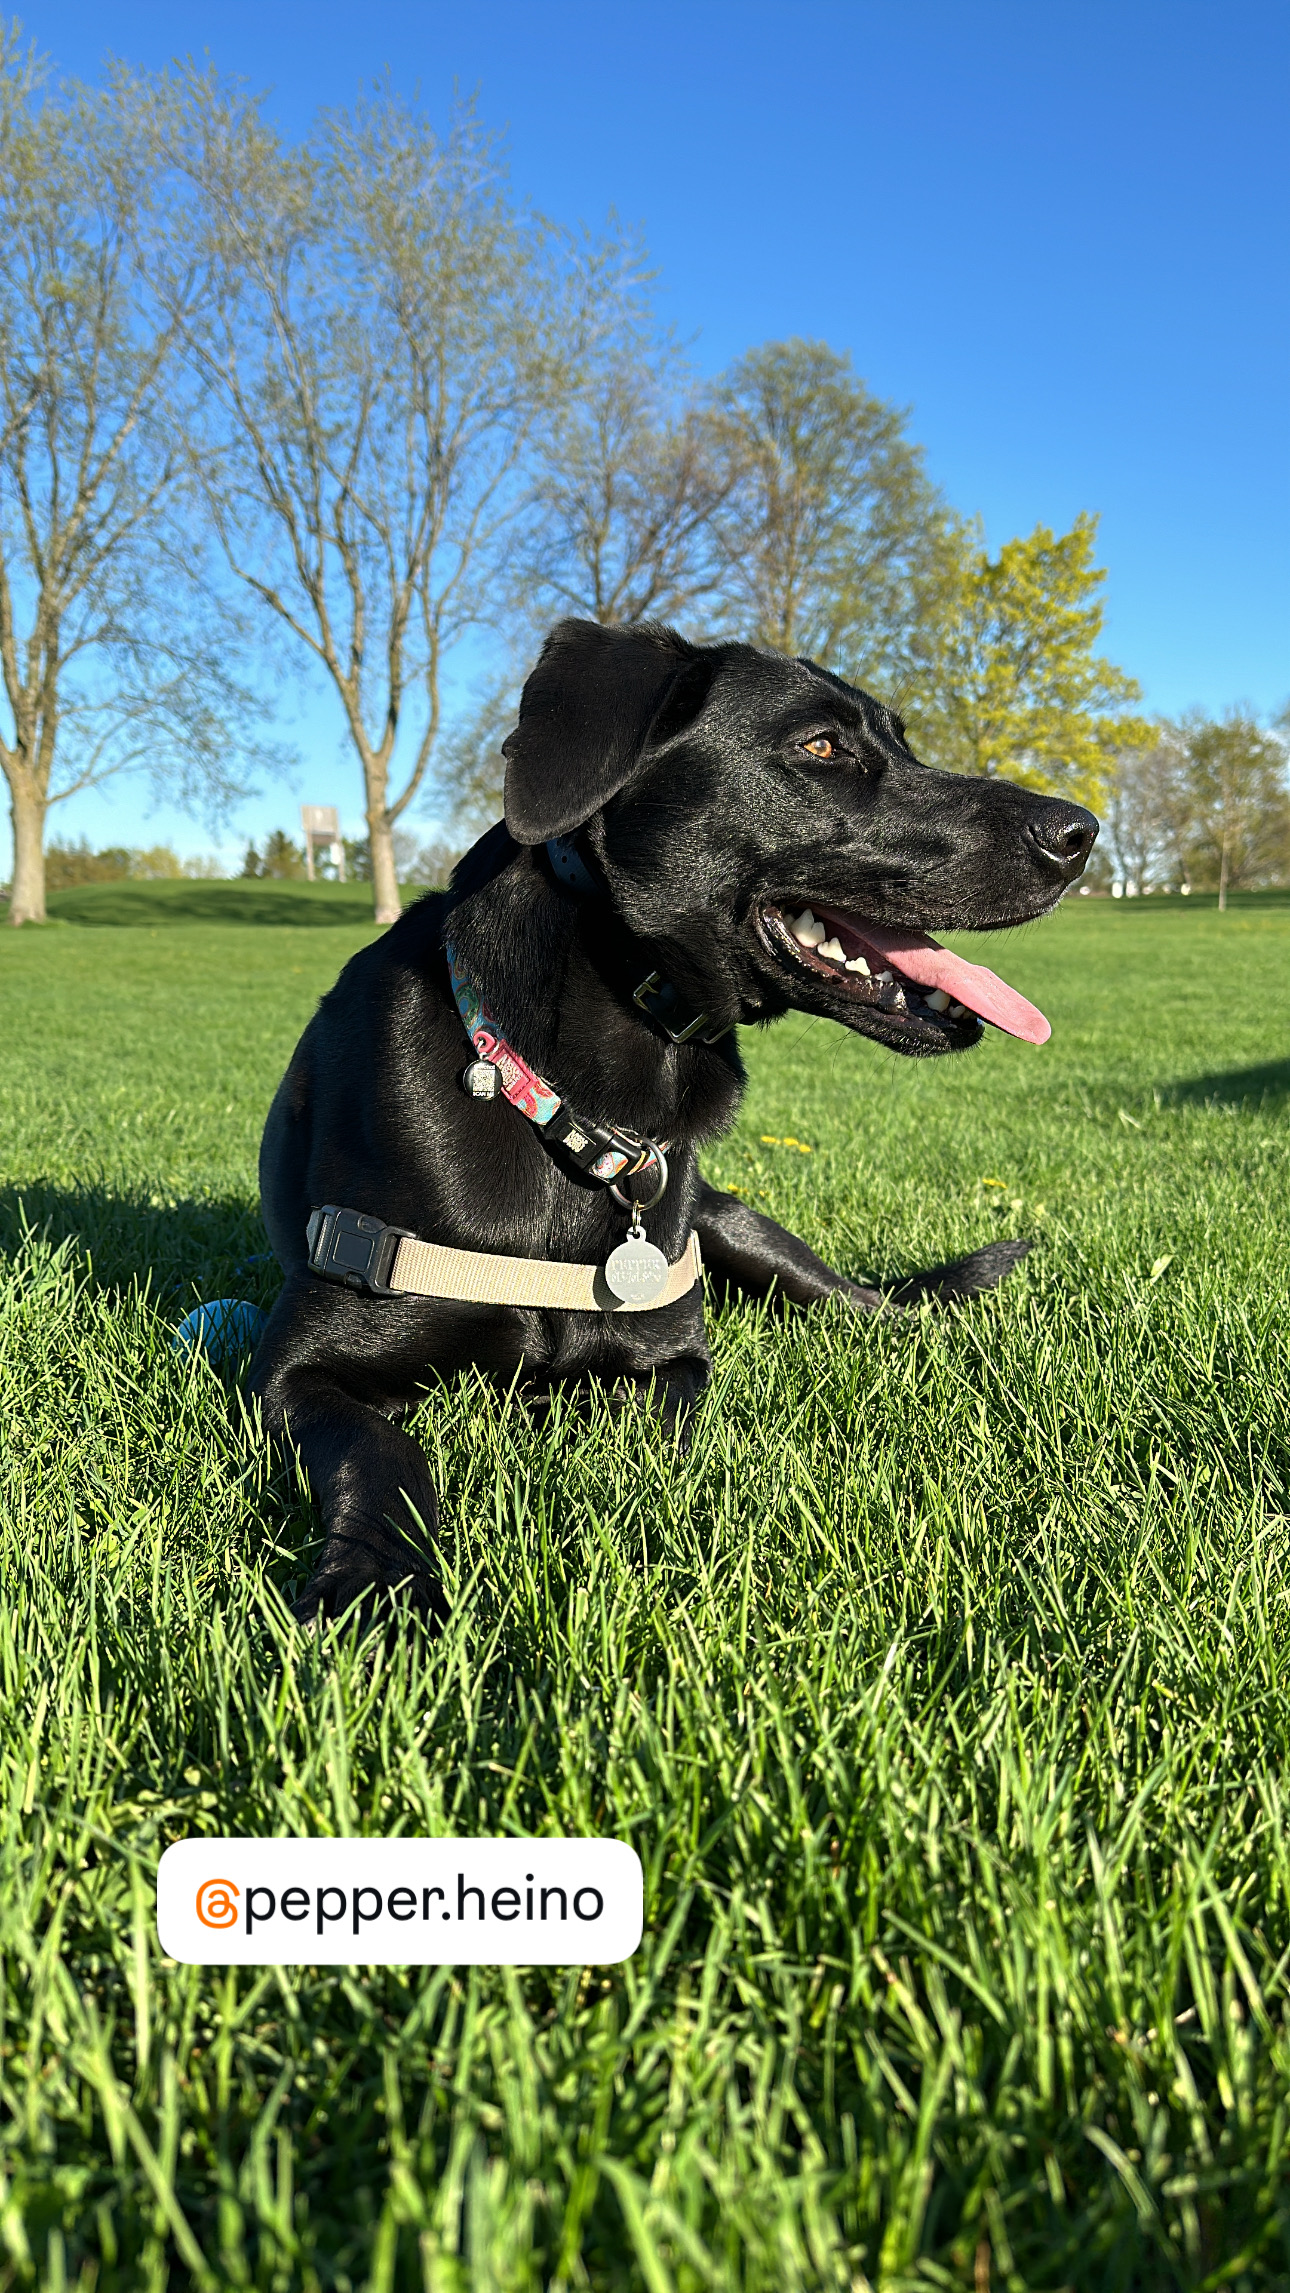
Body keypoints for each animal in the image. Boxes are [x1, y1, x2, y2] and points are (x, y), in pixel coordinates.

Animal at [251, 619, 1096, 1623]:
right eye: (823, 748)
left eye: (903, 741)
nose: (1084, 832)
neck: (574, 1106)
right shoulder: (297, 1366)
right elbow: (383, 1450)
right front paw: (379, 1588)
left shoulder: (671, 1354)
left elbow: (634, 1416)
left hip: (741, 1230)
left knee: (877, 1307)